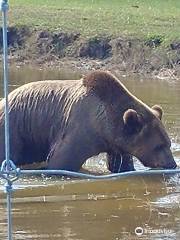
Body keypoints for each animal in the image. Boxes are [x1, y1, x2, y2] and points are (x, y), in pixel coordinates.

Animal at [0, 70, 177, 172]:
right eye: (158, 146)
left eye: (168, 143)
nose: (172, 164)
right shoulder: (80, 128)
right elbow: (61, 161)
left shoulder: (118, 145)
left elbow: (121, 165)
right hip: (15, 129)